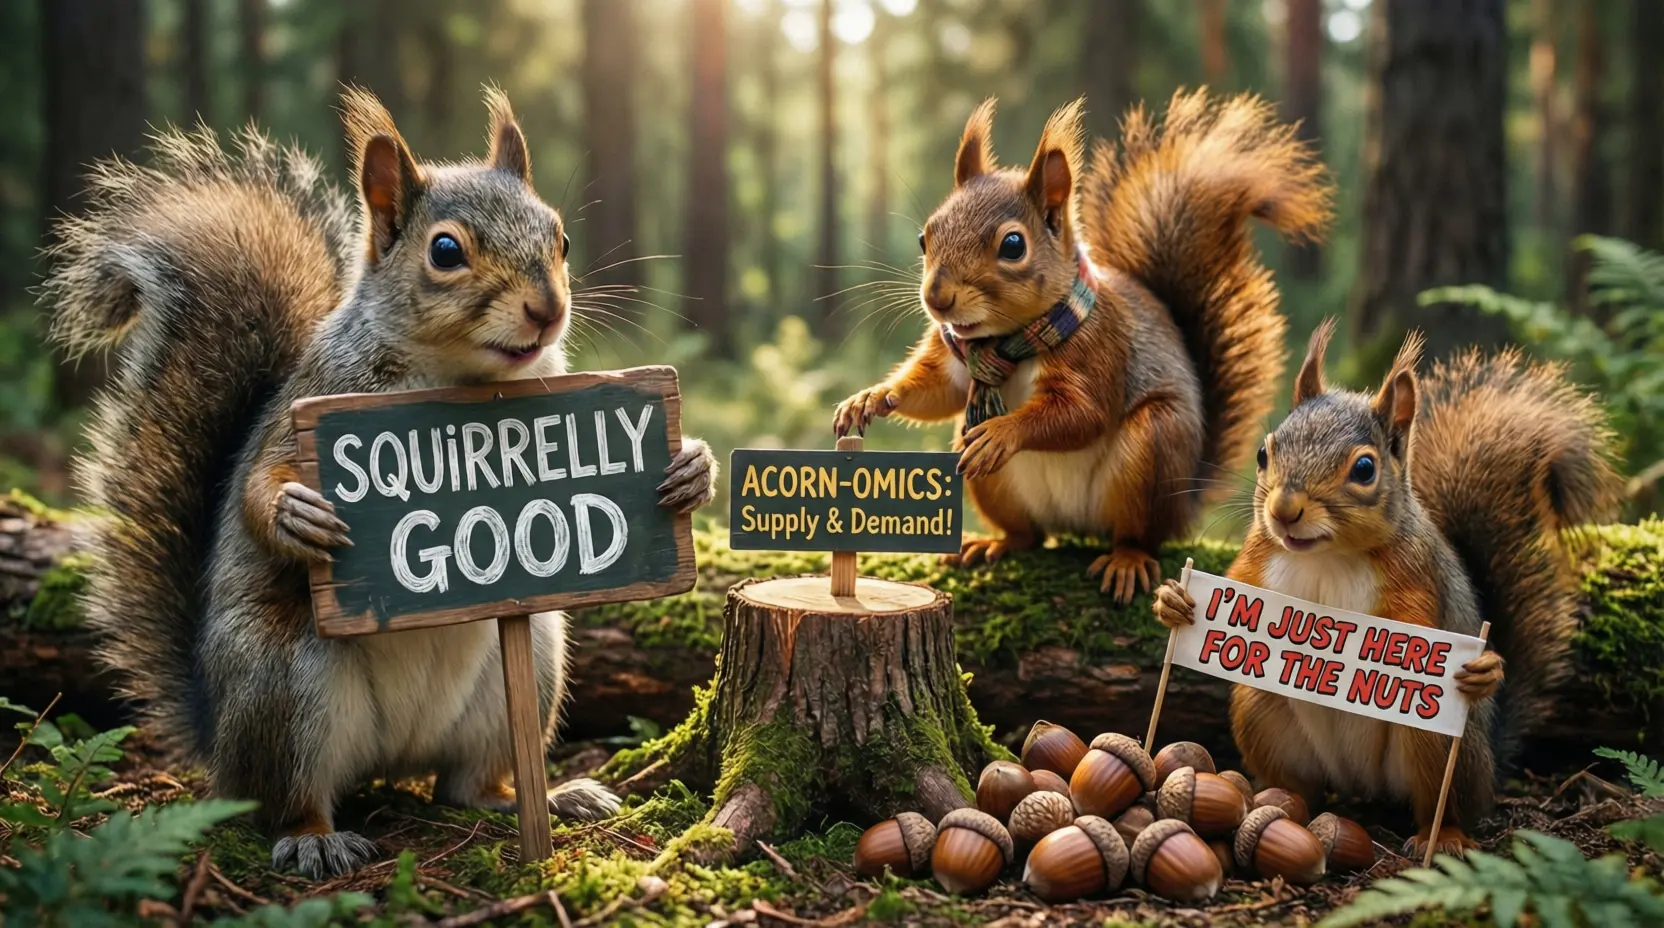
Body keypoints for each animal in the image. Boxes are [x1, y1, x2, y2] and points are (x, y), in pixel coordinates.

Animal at [43, 88, 717, 879]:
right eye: (446, 251)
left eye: (561, 240)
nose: (548, 311)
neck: (459, 379)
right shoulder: (315, 401)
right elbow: (257, 487)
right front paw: (296, 512)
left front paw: (690, 467)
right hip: (284, 686)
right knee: (286, 798)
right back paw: (314, 836)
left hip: (529, 665)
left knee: (465, 785)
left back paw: (546, 797)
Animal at [833, 90, 1331, 603]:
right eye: (924, 236)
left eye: (1013, 245)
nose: (937, 298)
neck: (1005, 341)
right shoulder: (953, 353)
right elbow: (936, 392)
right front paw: (871, 397)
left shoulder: (1100, 348)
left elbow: (1082, 414)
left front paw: (1002, 432)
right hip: (994, 484)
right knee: (1029, 535)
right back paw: (994, 543)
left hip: (1154, 450)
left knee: (1137, 534)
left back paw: (1127, 561)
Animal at [1153, 319, 1622, 856]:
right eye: (1263, 453)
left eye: (1364, 469)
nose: (1284, 510)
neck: (1326, 556)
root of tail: (1362, 786)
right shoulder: (1256, 562)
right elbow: (1228, 587)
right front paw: (1175, 602)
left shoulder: (1418, 578)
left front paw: (1483, 668)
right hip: (1261, 714)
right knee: (1302, 784)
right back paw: (1277, 800)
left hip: (1436, 744)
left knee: (1446, 804)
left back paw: (1444, 836)